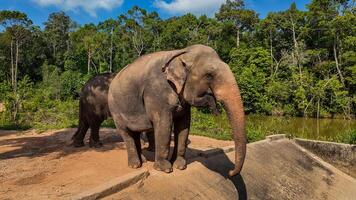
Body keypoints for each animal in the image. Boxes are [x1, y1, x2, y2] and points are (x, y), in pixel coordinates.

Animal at [108, 44, 246, 177]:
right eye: (209, 75)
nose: (230, 172)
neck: (182, 52)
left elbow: (184, 124)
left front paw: (180, 166)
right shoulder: (157, 92)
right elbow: (164, 124)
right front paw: (165, 169)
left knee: (134, 133)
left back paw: (143, 161)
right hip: (115, 110)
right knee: (126, 133)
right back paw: (135, 165)